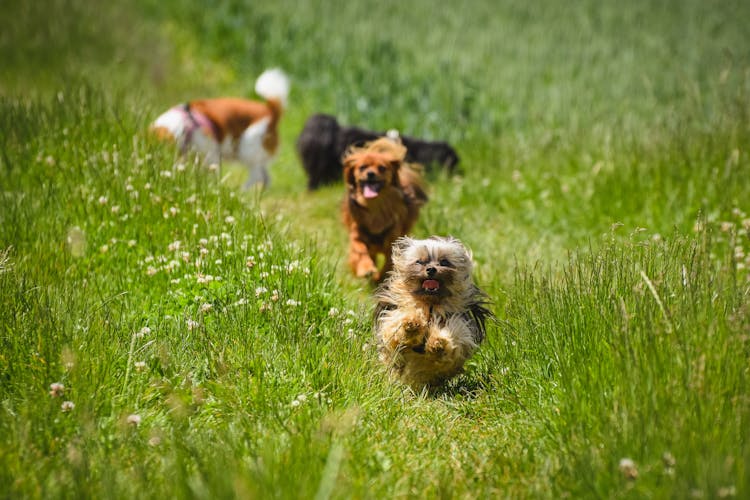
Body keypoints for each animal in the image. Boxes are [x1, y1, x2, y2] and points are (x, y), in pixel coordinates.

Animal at [151, 67, 290, 188]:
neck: (185, 126)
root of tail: (271, 111)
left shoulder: (211, 155)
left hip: (247, 148)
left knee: (257, 175)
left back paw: (240, 191)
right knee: (266, 178)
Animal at [342, 139, 428, 284]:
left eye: (382, 168)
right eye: (362, 167)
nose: (370, 174)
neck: (376, 206)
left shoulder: (392, 244)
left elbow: (389, 264)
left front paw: (380, 278)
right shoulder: (357, 236)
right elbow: (360, 251)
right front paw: (366, 269)